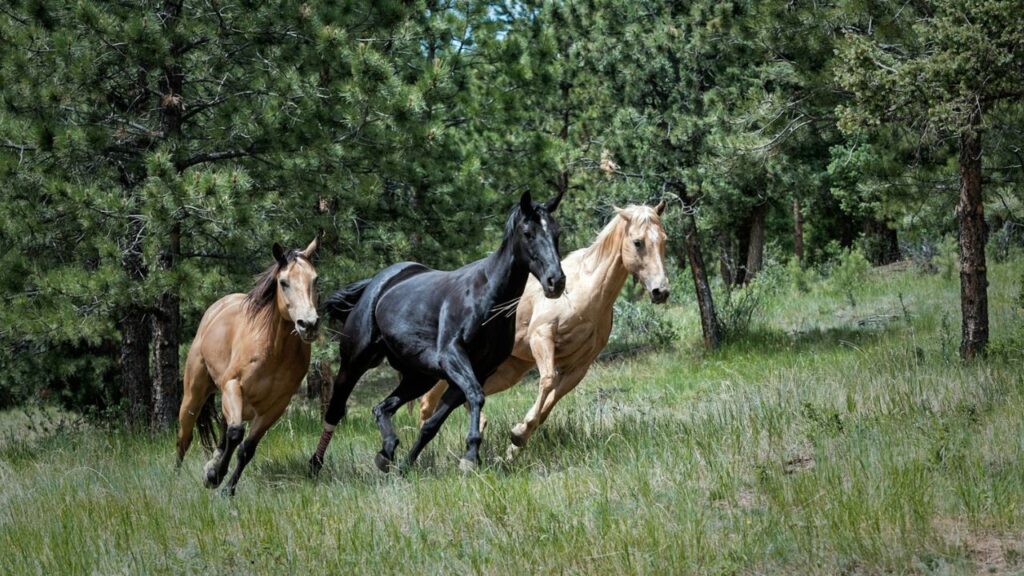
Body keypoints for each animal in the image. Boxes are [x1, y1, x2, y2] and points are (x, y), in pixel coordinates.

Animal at [176, 237, 320, 495]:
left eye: (315, 279)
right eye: (283, 282)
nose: (309, 324)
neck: (274, 350)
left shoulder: (276, 406)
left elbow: (247, 448)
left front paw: (225, 487)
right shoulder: (233, 386)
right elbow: (235, 434)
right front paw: (215, 476)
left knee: (223, 431)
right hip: (194, 396)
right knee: (184, 438)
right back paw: (175, 481)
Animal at [308, 191, 566, 475]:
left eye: (556, 232)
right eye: (528, 233)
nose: (556, 281)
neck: (486, 297)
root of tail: (377, 283)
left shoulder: (475, 371)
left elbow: (433, 424)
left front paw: (406, 466)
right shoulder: (452, 357)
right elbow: (476, 395)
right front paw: (470, 455)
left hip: (419, 377)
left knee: (382, 408)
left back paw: (386, 452)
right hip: (355, 362)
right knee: (335, 410)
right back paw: (315, 464)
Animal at [419, 202, 669, 457]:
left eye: (663, 240)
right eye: (638, 242)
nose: (661, 291)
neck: (584, 292)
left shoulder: (579, 366)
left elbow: (552, 400)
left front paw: (517, 440)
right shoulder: (542, 338)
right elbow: (547, 381)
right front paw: (518, 434)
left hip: (508, 370)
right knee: (429, 401)